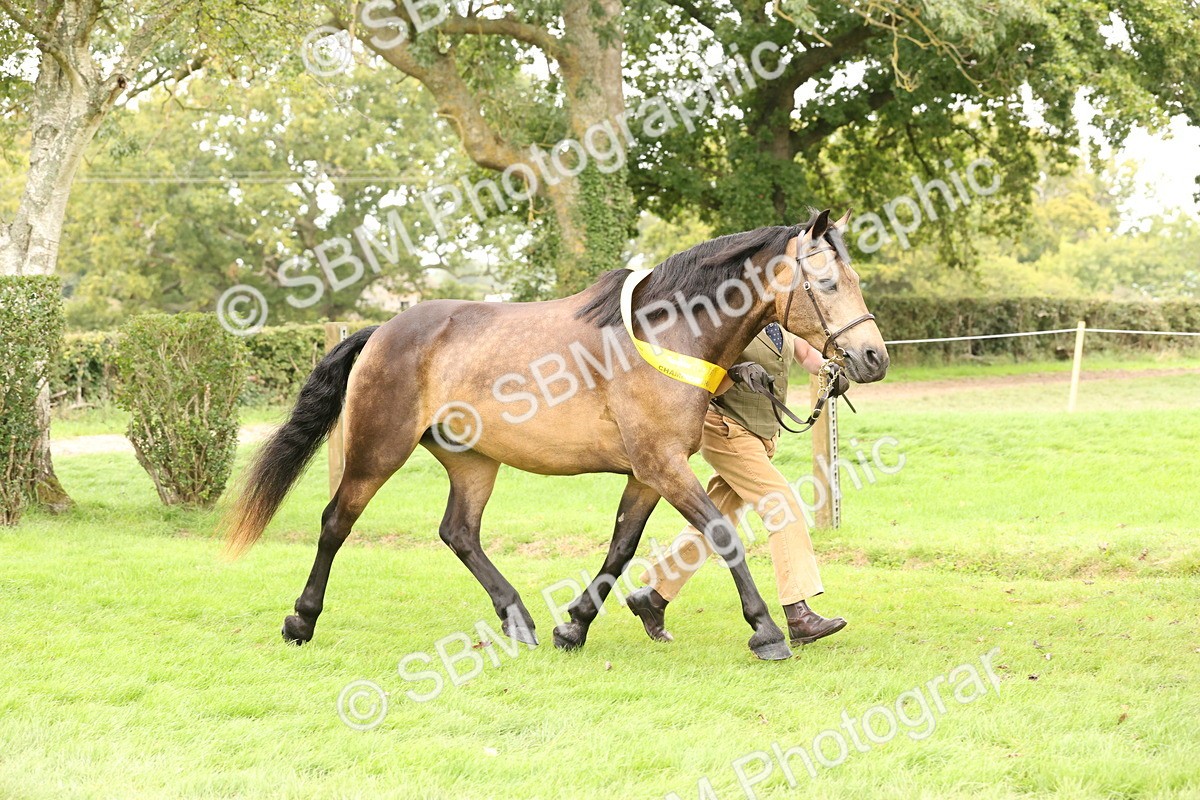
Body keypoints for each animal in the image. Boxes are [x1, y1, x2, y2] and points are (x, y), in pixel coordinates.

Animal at [223, 209, 889, 660]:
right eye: (827, 283)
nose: (872, 357)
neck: (668, 334)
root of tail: (383, 329)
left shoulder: (648, 473)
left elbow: (621, 548)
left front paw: (574, 625)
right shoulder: (664, 465)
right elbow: (722, 534)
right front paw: (767, 631)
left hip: (473, 461)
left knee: (459, 533)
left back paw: (519, 620)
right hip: (376, 451)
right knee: (336, 522)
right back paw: (301, 621)